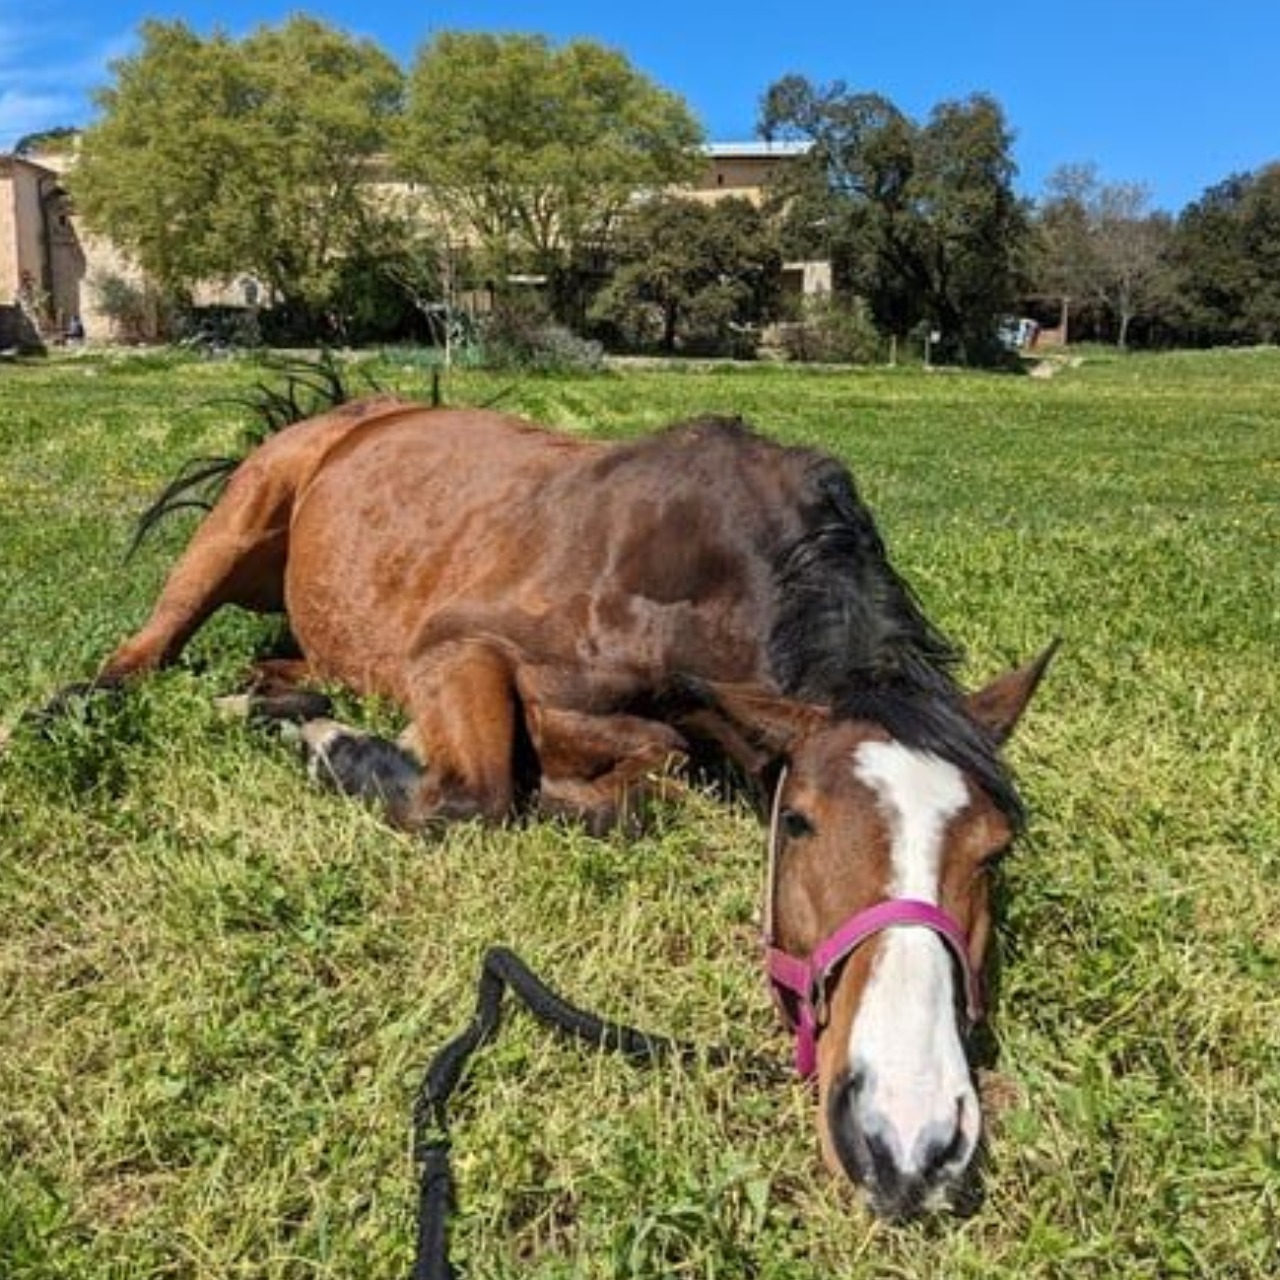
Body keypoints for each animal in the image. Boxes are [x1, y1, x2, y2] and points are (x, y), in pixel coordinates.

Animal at [77, 391, 1049, 1218]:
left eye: (995, 850)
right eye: (799, 820)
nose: (911, 1142)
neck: (693, 569)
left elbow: (649, 767)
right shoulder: (456, 651)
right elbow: (481, 794)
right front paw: (337, 748)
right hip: (233, 529)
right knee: (137, 659)